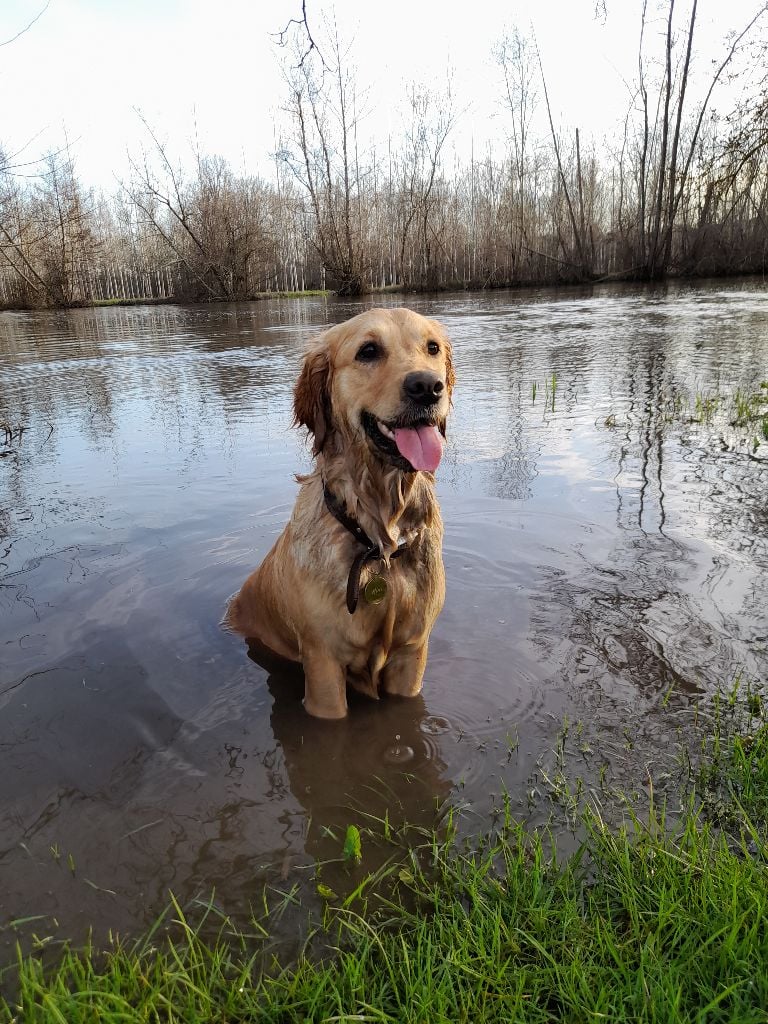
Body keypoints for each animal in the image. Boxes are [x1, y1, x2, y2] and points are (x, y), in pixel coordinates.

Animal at [228, 307, 456, 716]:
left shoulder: (412, 653)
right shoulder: (323, 662)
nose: (428, 386)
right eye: (368, 351)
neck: (379, 543)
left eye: (432, 348)